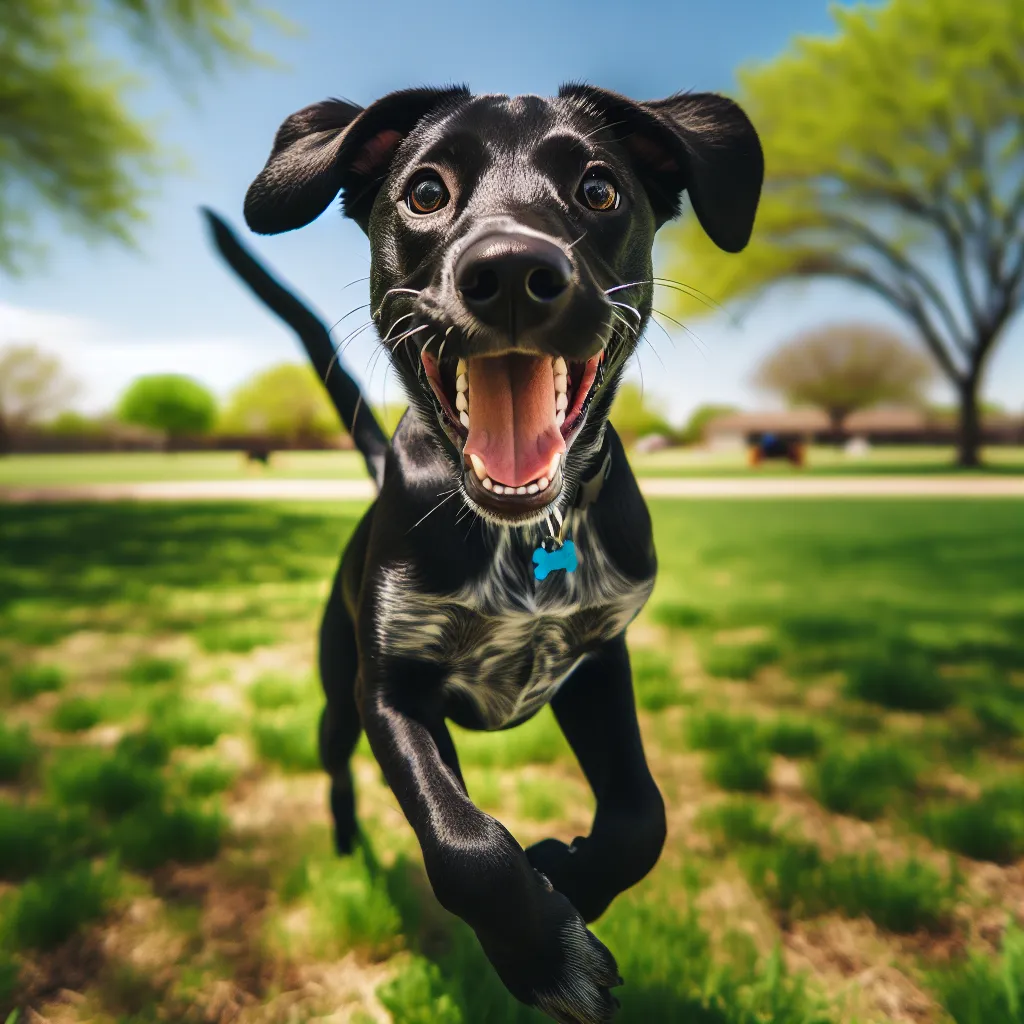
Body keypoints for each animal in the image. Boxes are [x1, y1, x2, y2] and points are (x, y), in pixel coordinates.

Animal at [205, 83, 761, 1019]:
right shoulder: (390, 690)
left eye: (599, 189)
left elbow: (642, 816)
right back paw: (349, 850)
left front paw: (571, 874)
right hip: (334, 695)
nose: (509, 274)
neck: (519, 536)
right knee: (337, 773)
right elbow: (466, 846)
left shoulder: (598, 662)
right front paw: (545, 956)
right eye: (426, 191)